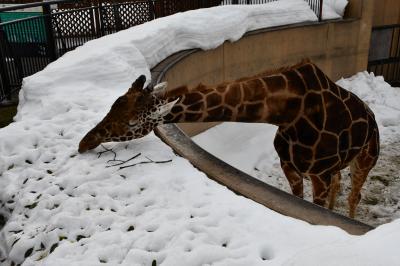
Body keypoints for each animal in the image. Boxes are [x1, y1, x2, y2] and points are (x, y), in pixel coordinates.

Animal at [79, 60, 382, 218]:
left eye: (132, 122)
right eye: (113, 105)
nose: (84, 143)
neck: (289, 113)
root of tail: (372, 118)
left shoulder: (318, 175)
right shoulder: (291, 167)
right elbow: (298, 199)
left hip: (364, 160)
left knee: (355, 194)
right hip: (338, 167)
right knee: (340, 185)